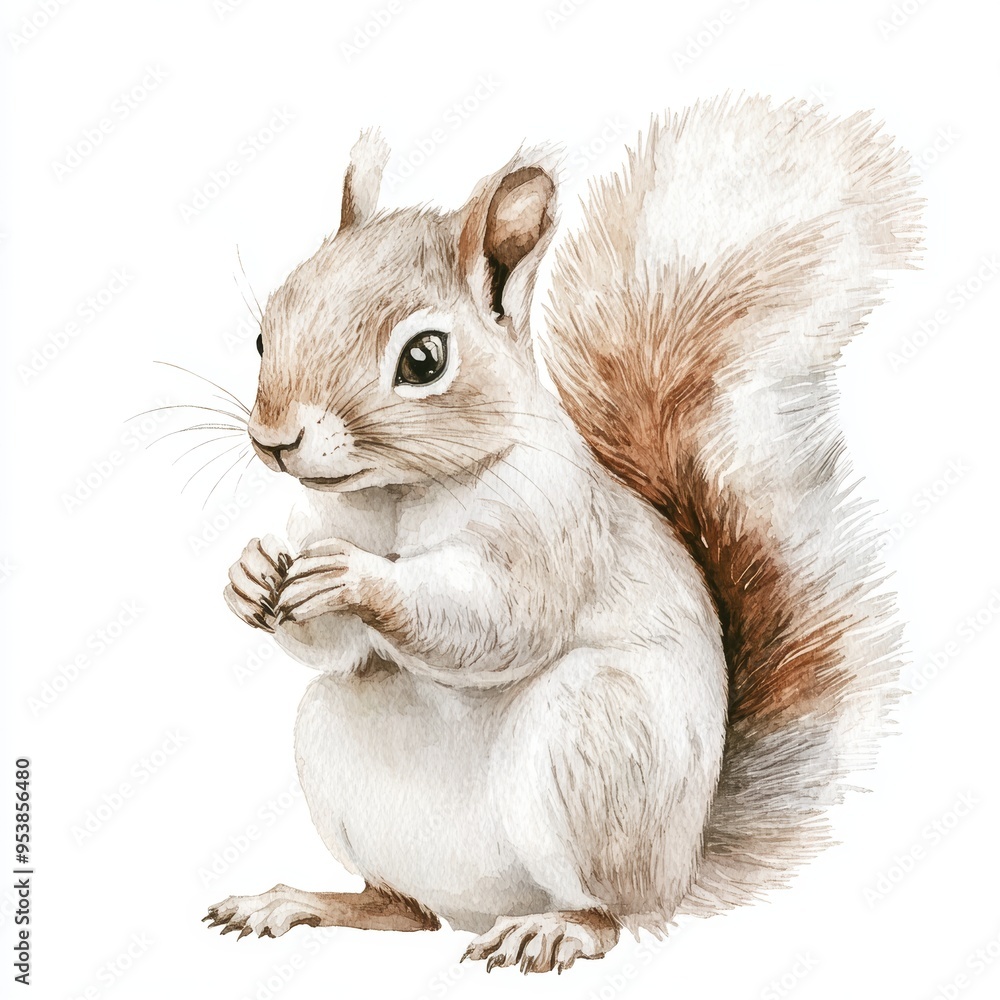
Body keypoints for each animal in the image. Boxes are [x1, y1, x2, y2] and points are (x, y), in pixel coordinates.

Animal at [205, 95, 921, 974]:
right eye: (265, 332)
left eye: (424, 358)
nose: (274, 439)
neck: (397, 496)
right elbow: (332, 649)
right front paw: (249, 573)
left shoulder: (552, 524)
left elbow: (494, 617)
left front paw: (355, 576)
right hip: (336, 749)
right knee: (402, 909)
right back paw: (303, 902)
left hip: (596, 740)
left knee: (610, 910)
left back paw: (556, 928)